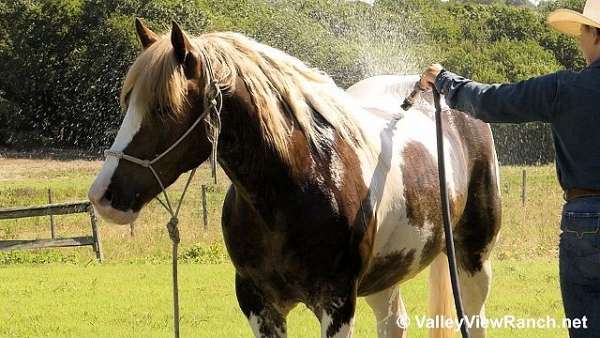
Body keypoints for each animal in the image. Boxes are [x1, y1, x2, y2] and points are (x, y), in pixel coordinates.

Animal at [89, 19, 502, 338]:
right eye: (127, 102)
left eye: (163, 108)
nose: (102, 195)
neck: (295, 189)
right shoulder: (260, 305)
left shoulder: (337, 304)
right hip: (386, 272)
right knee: (393, 322)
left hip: (472, 257)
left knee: (474, 318)